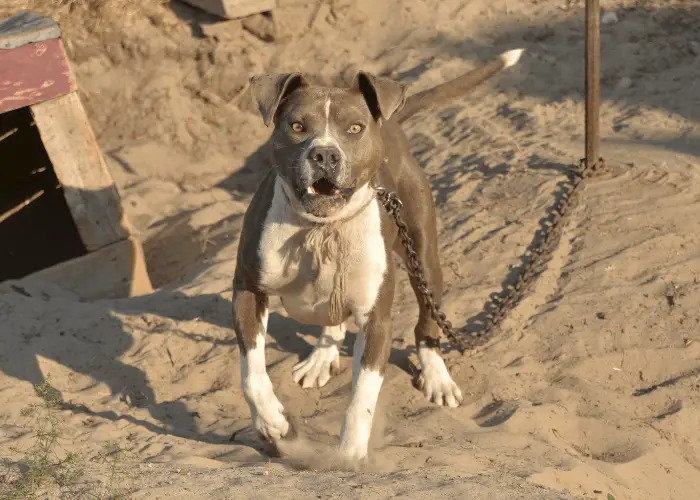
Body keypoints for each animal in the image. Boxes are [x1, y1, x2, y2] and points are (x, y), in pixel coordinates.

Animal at [235, 48, 524, 462]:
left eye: (354, 128)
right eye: (297, 126)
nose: (324, 154)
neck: (322, 228)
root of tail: (391, 125)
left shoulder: (377, 320)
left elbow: (362, 398)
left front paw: (349, 456)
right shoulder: (247, 289)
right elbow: (252, 373)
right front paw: (272, 421)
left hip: (424, 260)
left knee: (426, 325)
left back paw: (437, 376)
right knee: (333, 318)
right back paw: (321, 357)